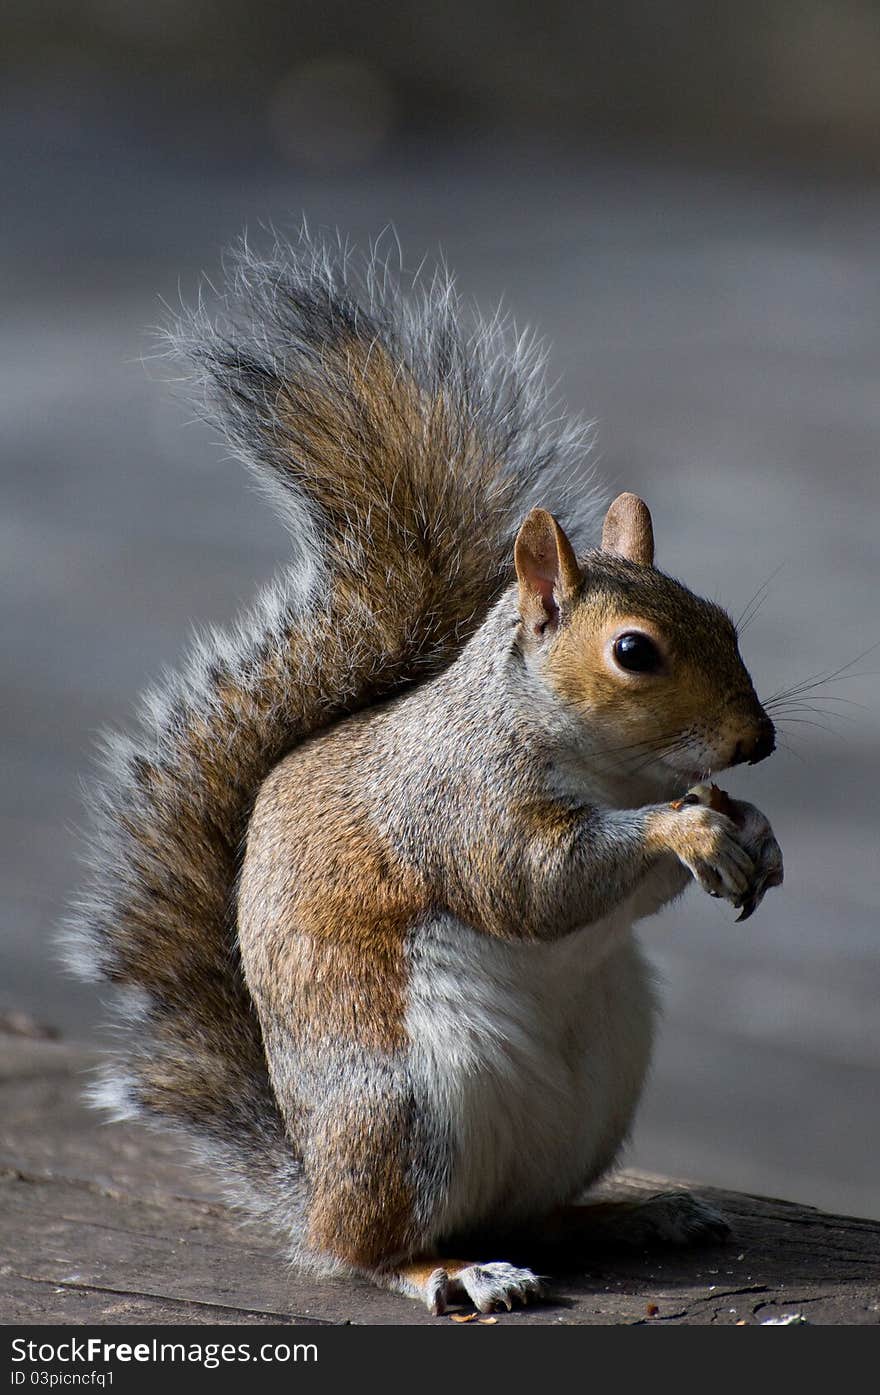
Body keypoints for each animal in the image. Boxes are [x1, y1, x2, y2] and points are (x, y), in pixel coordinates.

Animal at [67, 231, 786, 1316]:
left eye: (725, 622)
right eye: (634, 652)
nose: (758, 742)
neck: (605, 766)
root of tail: (310, 1182)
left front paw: (753, 832)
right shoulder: (456, 807)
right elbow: (535, 886)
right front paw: (692, 827)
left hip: (594, 1089)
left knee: (537, 1212)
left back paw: (636, 1215)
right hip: (406, 1115)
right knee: (369, 1246)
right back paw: (457, 1271)